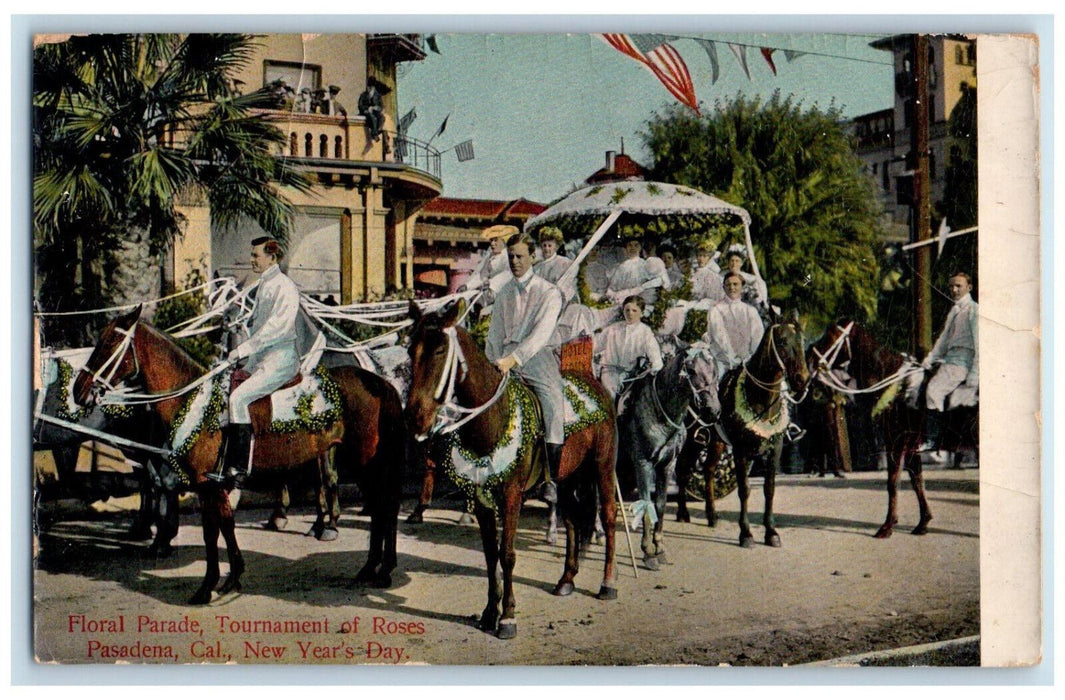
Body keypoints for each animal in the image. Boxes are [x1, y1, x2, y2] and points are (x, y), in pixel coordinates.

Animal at [74, 304, 406, 600]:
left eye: (111, 342)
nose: (79, 390)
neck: (195, 400)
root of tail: (381, 383)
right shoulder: (215, 485)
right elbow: (226, 525)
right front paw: (232, 578)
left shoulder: (206, 484)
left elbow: (211, 532)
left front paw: (207, 586)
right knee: (381, 508)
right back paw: (372, 569)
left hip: (365, 463)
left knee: (383, 506)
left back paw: (379, 569)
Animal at [404, 300, 621, 639]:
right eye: (411, 349)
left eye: (440, 350)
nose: (416, 418)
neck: (492, 417)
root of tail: (593, 382)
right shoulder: (482, 499)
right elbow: (490, 554)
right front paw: (489, 613)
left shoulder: (510, 497)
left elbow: (507, 554)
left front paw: (507, 617)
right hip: (567, 477)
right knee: (573, 520)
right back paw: (566, 580)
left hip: (602, 466)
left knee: (609, 517)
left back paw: (607, 584)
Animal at [719, 308, 809, 545]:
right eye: (783, 340)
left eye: (803, 340)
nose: (802, 380)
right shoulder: (740, 451)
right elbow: (744, 489)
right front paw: (746, 533)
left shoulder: (774, 450)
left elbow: (769, 489)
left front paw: (771, 532)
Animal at [805, 319, 932, 536]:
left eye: (831, 334)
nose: (809, 356)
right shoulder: (910, 441)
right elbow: (916, 479)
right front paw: (922, 522)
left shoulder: (897, 440)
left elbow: (893, 481)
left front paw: (887, 526)